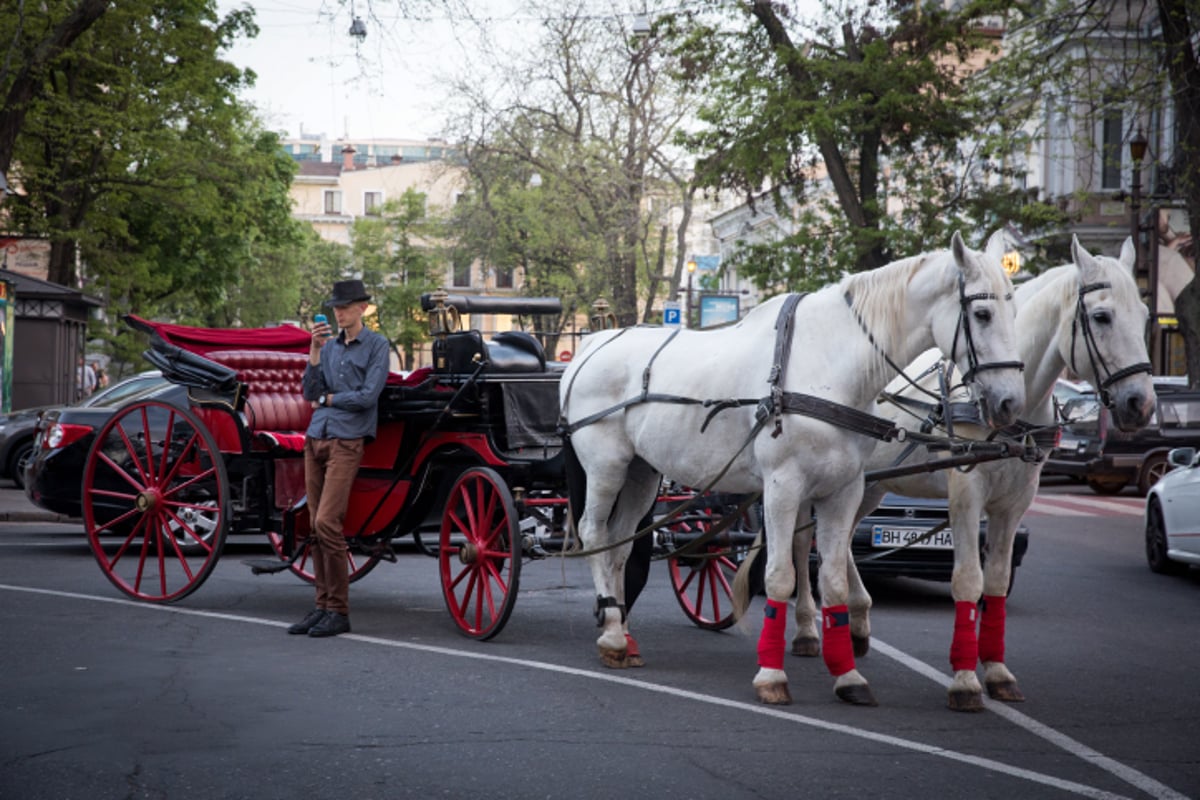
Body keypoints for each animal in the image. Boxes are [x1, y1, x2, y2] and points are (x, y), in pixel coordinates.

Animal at [559, 231, 1022, 705]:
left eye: (1015, 310)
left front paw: (847, 675)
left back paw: (621, 630)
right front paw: (771, 674)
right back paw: (613, 635)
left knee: (619, 543)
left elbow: (833, 580)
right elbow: (781, 577)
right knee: (595, 533)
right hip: (607, 466)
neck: (826, 364)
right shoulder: (782, 487)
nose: (1009, 403)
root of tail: (594, 344)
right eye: (982, 314)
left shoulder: (843, 491)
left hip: (643, 473)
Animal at [782, 235, 1156, 710]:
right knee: (801, 543)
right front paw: (964, 679)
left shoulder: (1013, 506)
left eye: (1144, 316)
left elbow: (994, 583)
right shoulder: (966, 497)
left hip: (870, 486)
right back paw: (808, 629)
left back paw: (858, 620)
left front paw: (996, 671)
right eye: (1102, 316)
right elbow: (966, 580)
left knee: (843, 541)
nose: (1141, 404)